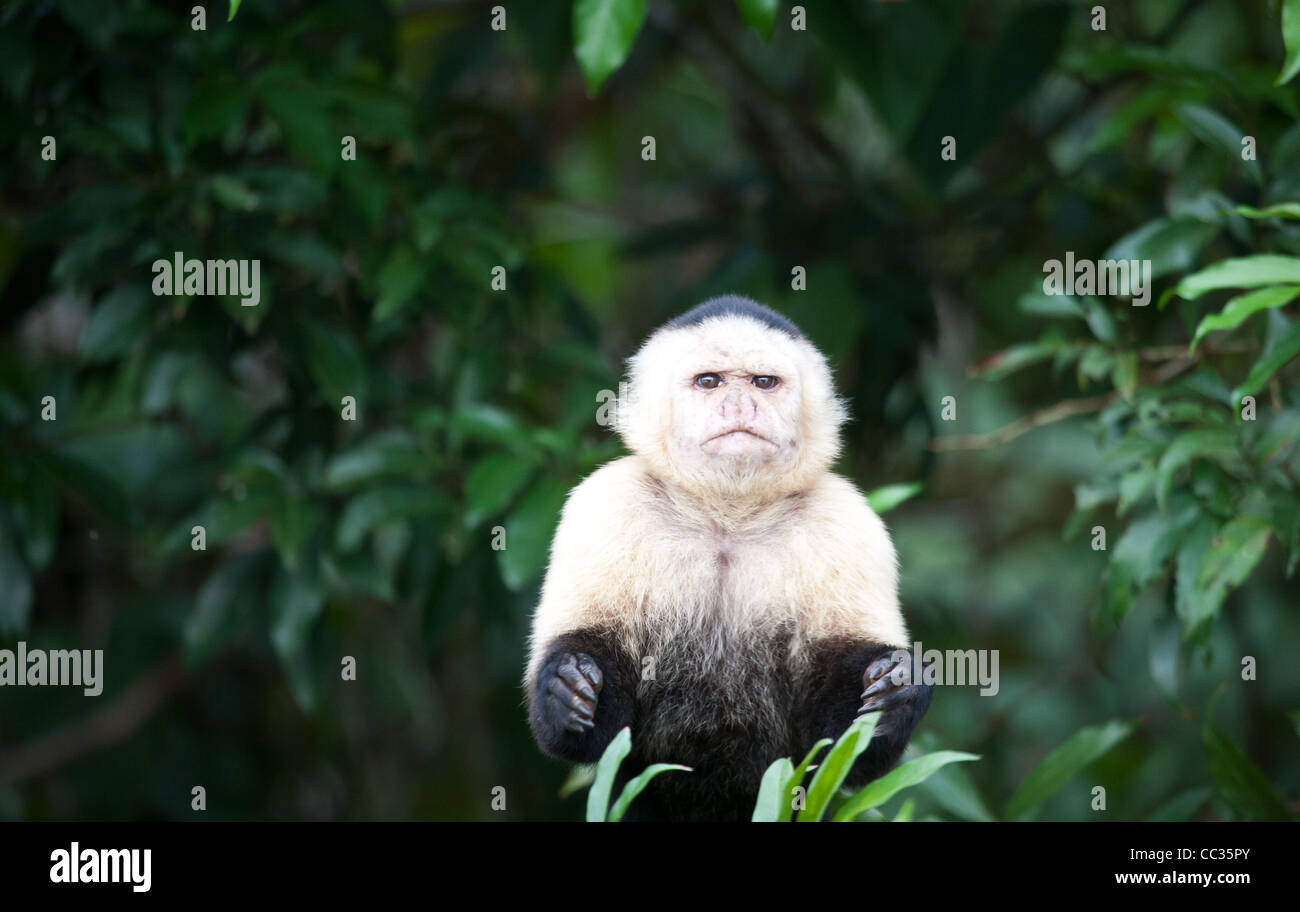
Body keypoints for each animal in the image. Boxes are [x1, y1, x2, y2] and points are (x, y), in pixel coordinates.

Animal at [522, 298, 930, 821]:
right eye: (709, 381)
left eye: (763, 382)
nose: (739, 406)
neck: (728, 516)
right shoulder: (607, 503)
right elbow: (596, 728)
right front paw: (567, 686)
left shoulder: (849, 522)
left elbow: (839, 748)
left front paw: (896, 694)